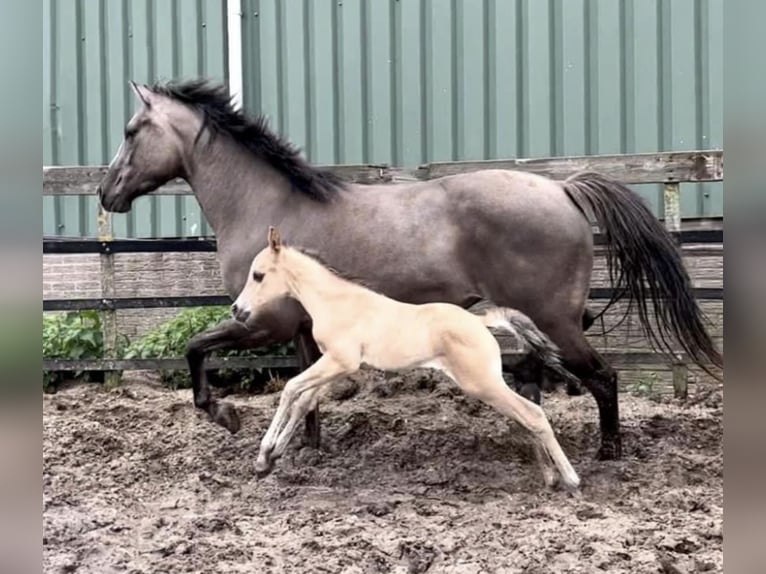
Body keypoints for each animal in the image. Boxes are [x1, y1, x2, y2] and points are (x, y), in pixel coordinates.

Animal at [99, 80, 724, 464]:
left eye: (130, 131)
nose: (107, 193)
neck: (267, 206)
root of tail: (563, 188)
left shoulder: (262, 322)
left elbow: (198, 348)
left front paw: (225, 415)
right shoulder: (304, 331)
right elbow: (306, 393)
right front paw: (305, 449)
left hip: (555, 320)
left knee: (603, 376)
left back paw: (607, 452)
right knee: (539, 374)